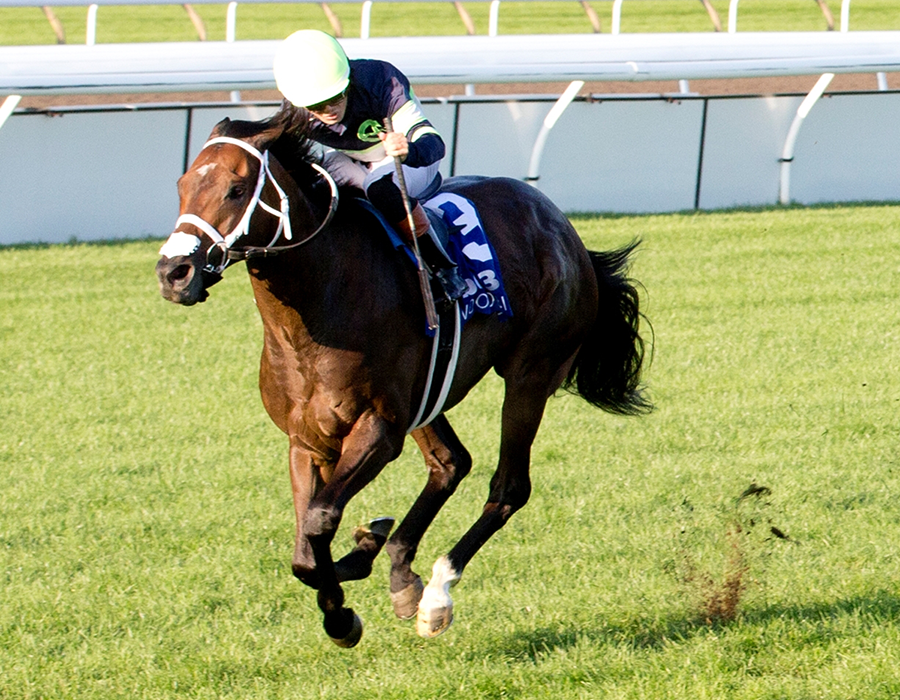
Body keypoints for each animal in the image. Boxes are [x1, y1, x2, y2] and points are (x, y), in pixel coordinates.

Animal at [155, 106, 651, 647]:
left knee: (508, 487)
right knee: (451, 462)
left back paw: (435, 593)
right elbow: (307, 548)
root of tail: (565, 229)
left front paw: (343, 614)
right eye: (182, 184)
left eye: (237, 188)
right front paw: (359, 560)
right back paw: (394, 564)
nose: (174, 272)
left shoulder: (378, 428)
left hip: (530, 374)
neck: (318, 304)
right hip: (426, 396)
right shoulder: (306, 440)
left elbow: (319, 520)